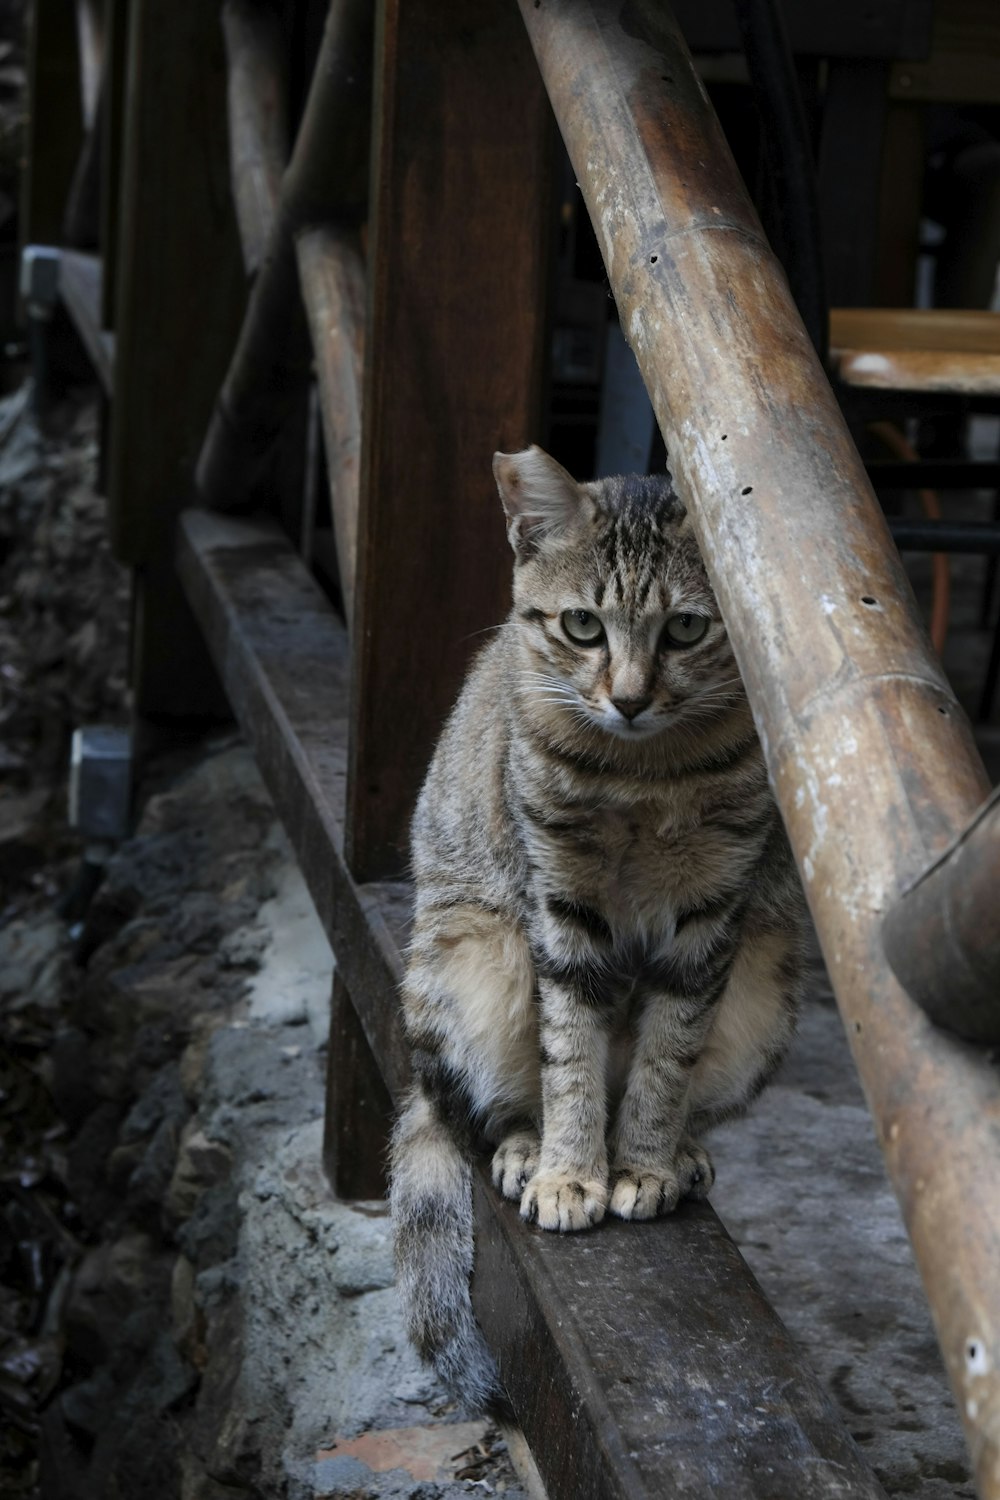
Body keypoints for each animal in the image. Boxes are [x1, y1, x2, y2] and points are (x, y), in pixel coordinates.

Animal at [389, 441, 803, 1404]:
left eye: (686, 630)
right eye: (582, 626)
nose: (629, 698)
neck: (644, 777)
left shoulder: (715, 911)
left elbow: (668, 1052)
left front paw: (642, 1162)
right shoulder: (559, 902)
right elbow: (570, 1048)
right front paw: (572, 1173)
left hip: (766, 983)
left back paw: (680, 1153)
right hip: (472, 957)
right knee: (472, 1105)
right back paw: (526, 1147)